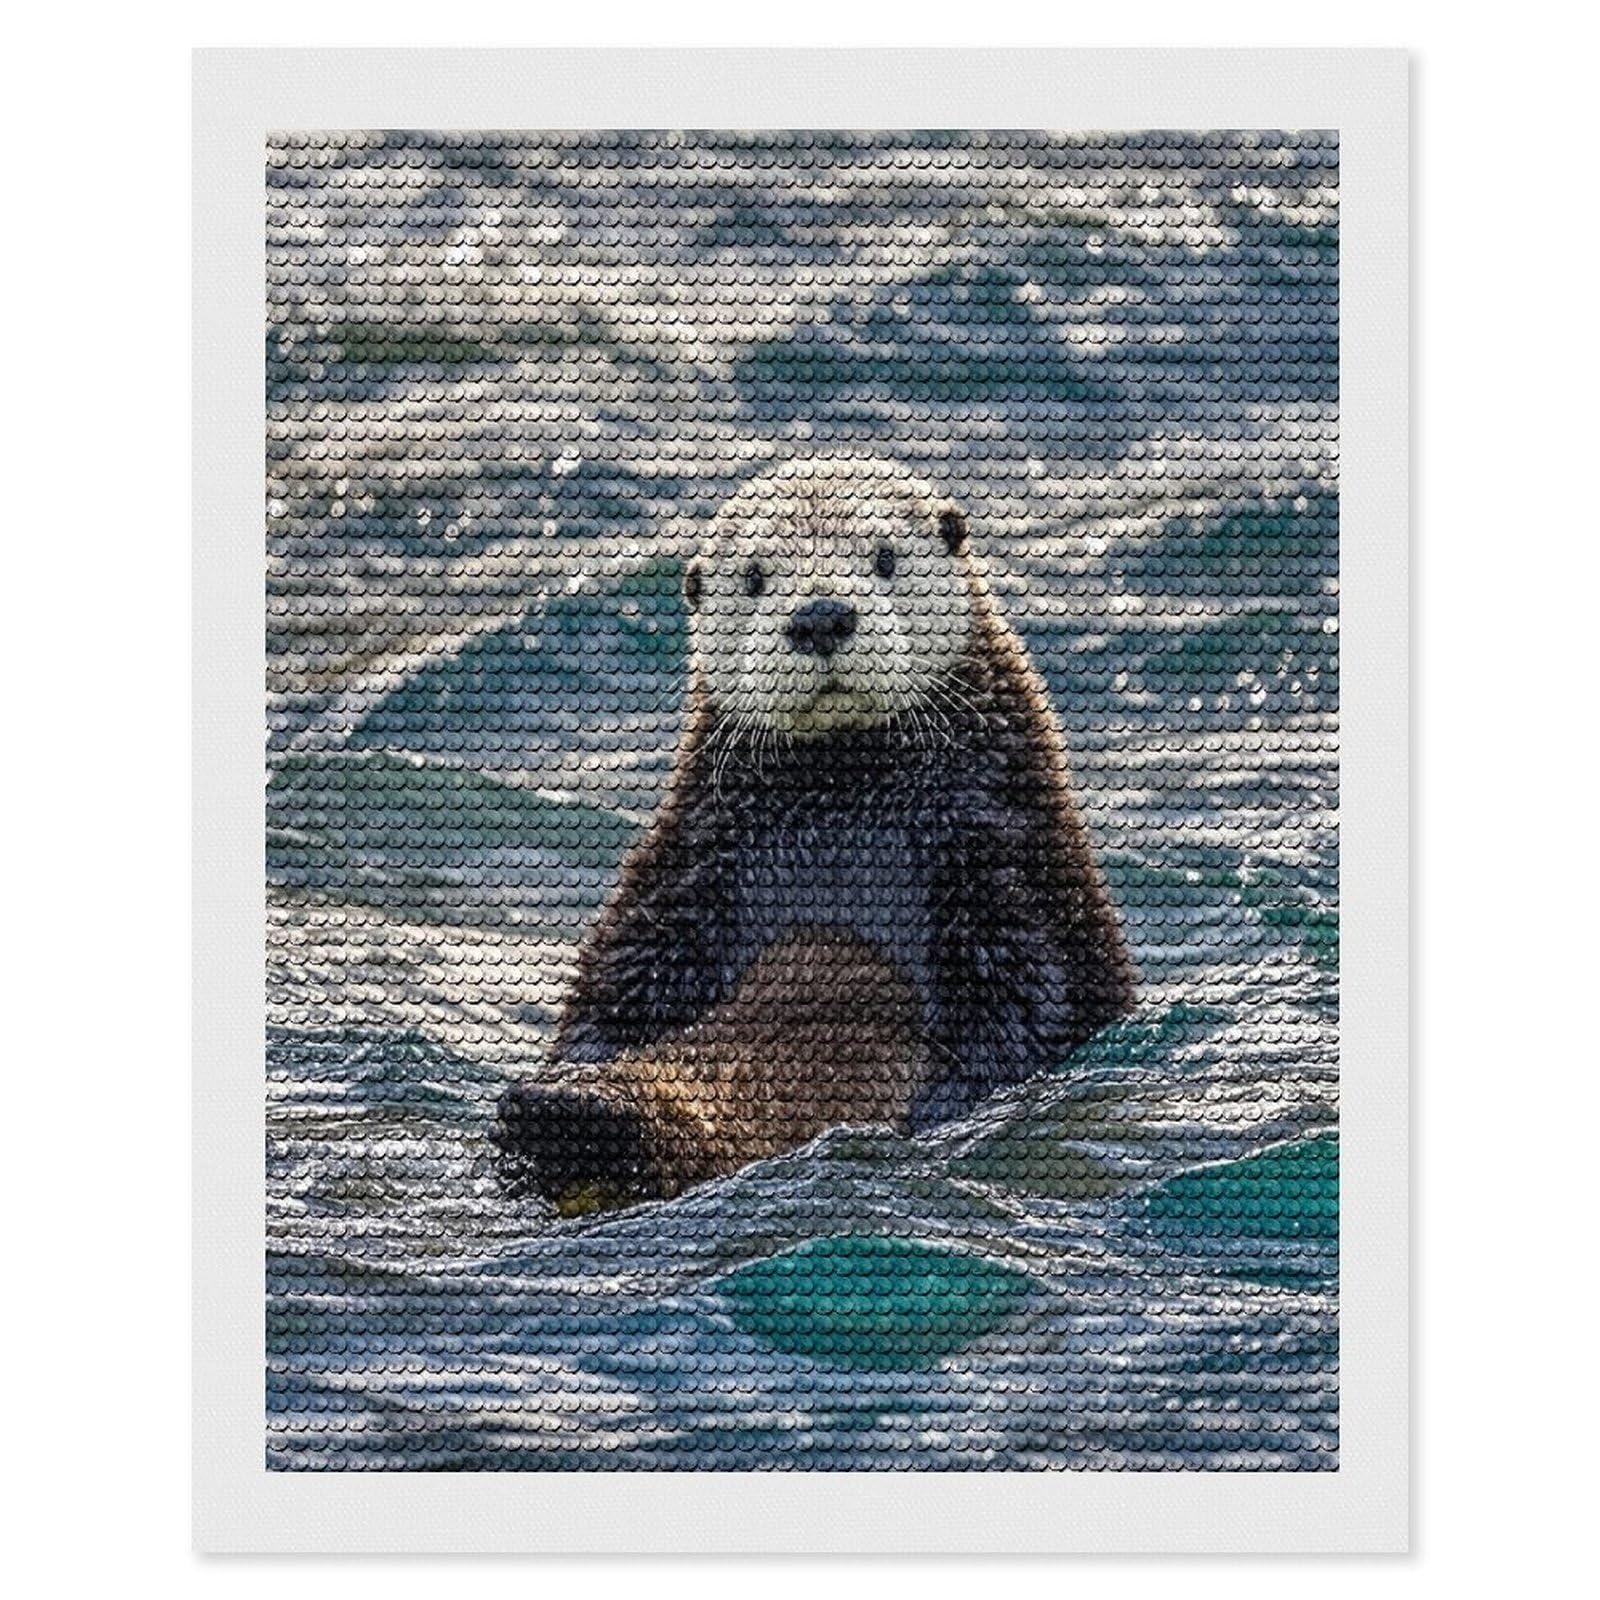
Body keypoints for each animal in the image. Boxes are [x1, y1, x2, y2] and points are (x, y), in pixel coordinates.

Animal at [494, 455, 1135, 1207]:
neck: (841, 802)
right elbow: (619, 984)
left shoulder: (1001, 853)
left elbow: (1022, 1000)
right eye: (754, 578)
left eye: (885, 558)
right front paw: (568, 1078)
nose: (820, 617)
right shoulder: (689, 865)